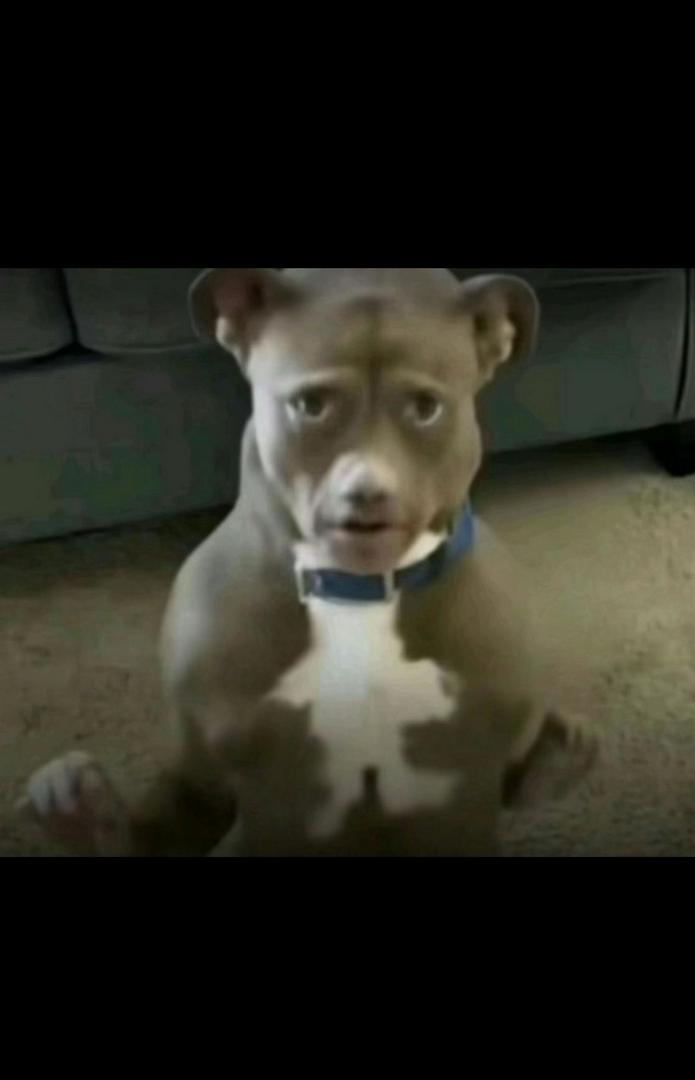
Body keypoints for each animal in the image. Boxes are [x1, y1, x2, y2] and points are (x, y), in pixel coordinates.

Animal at [19, 268, 597, 856]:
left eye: (426, 408)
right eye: (311, 404)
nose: (366, 492)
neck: (356, 592)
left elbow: (520, 779)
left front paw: (559, 757)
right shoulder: (200, 774)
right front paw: (81, 812)